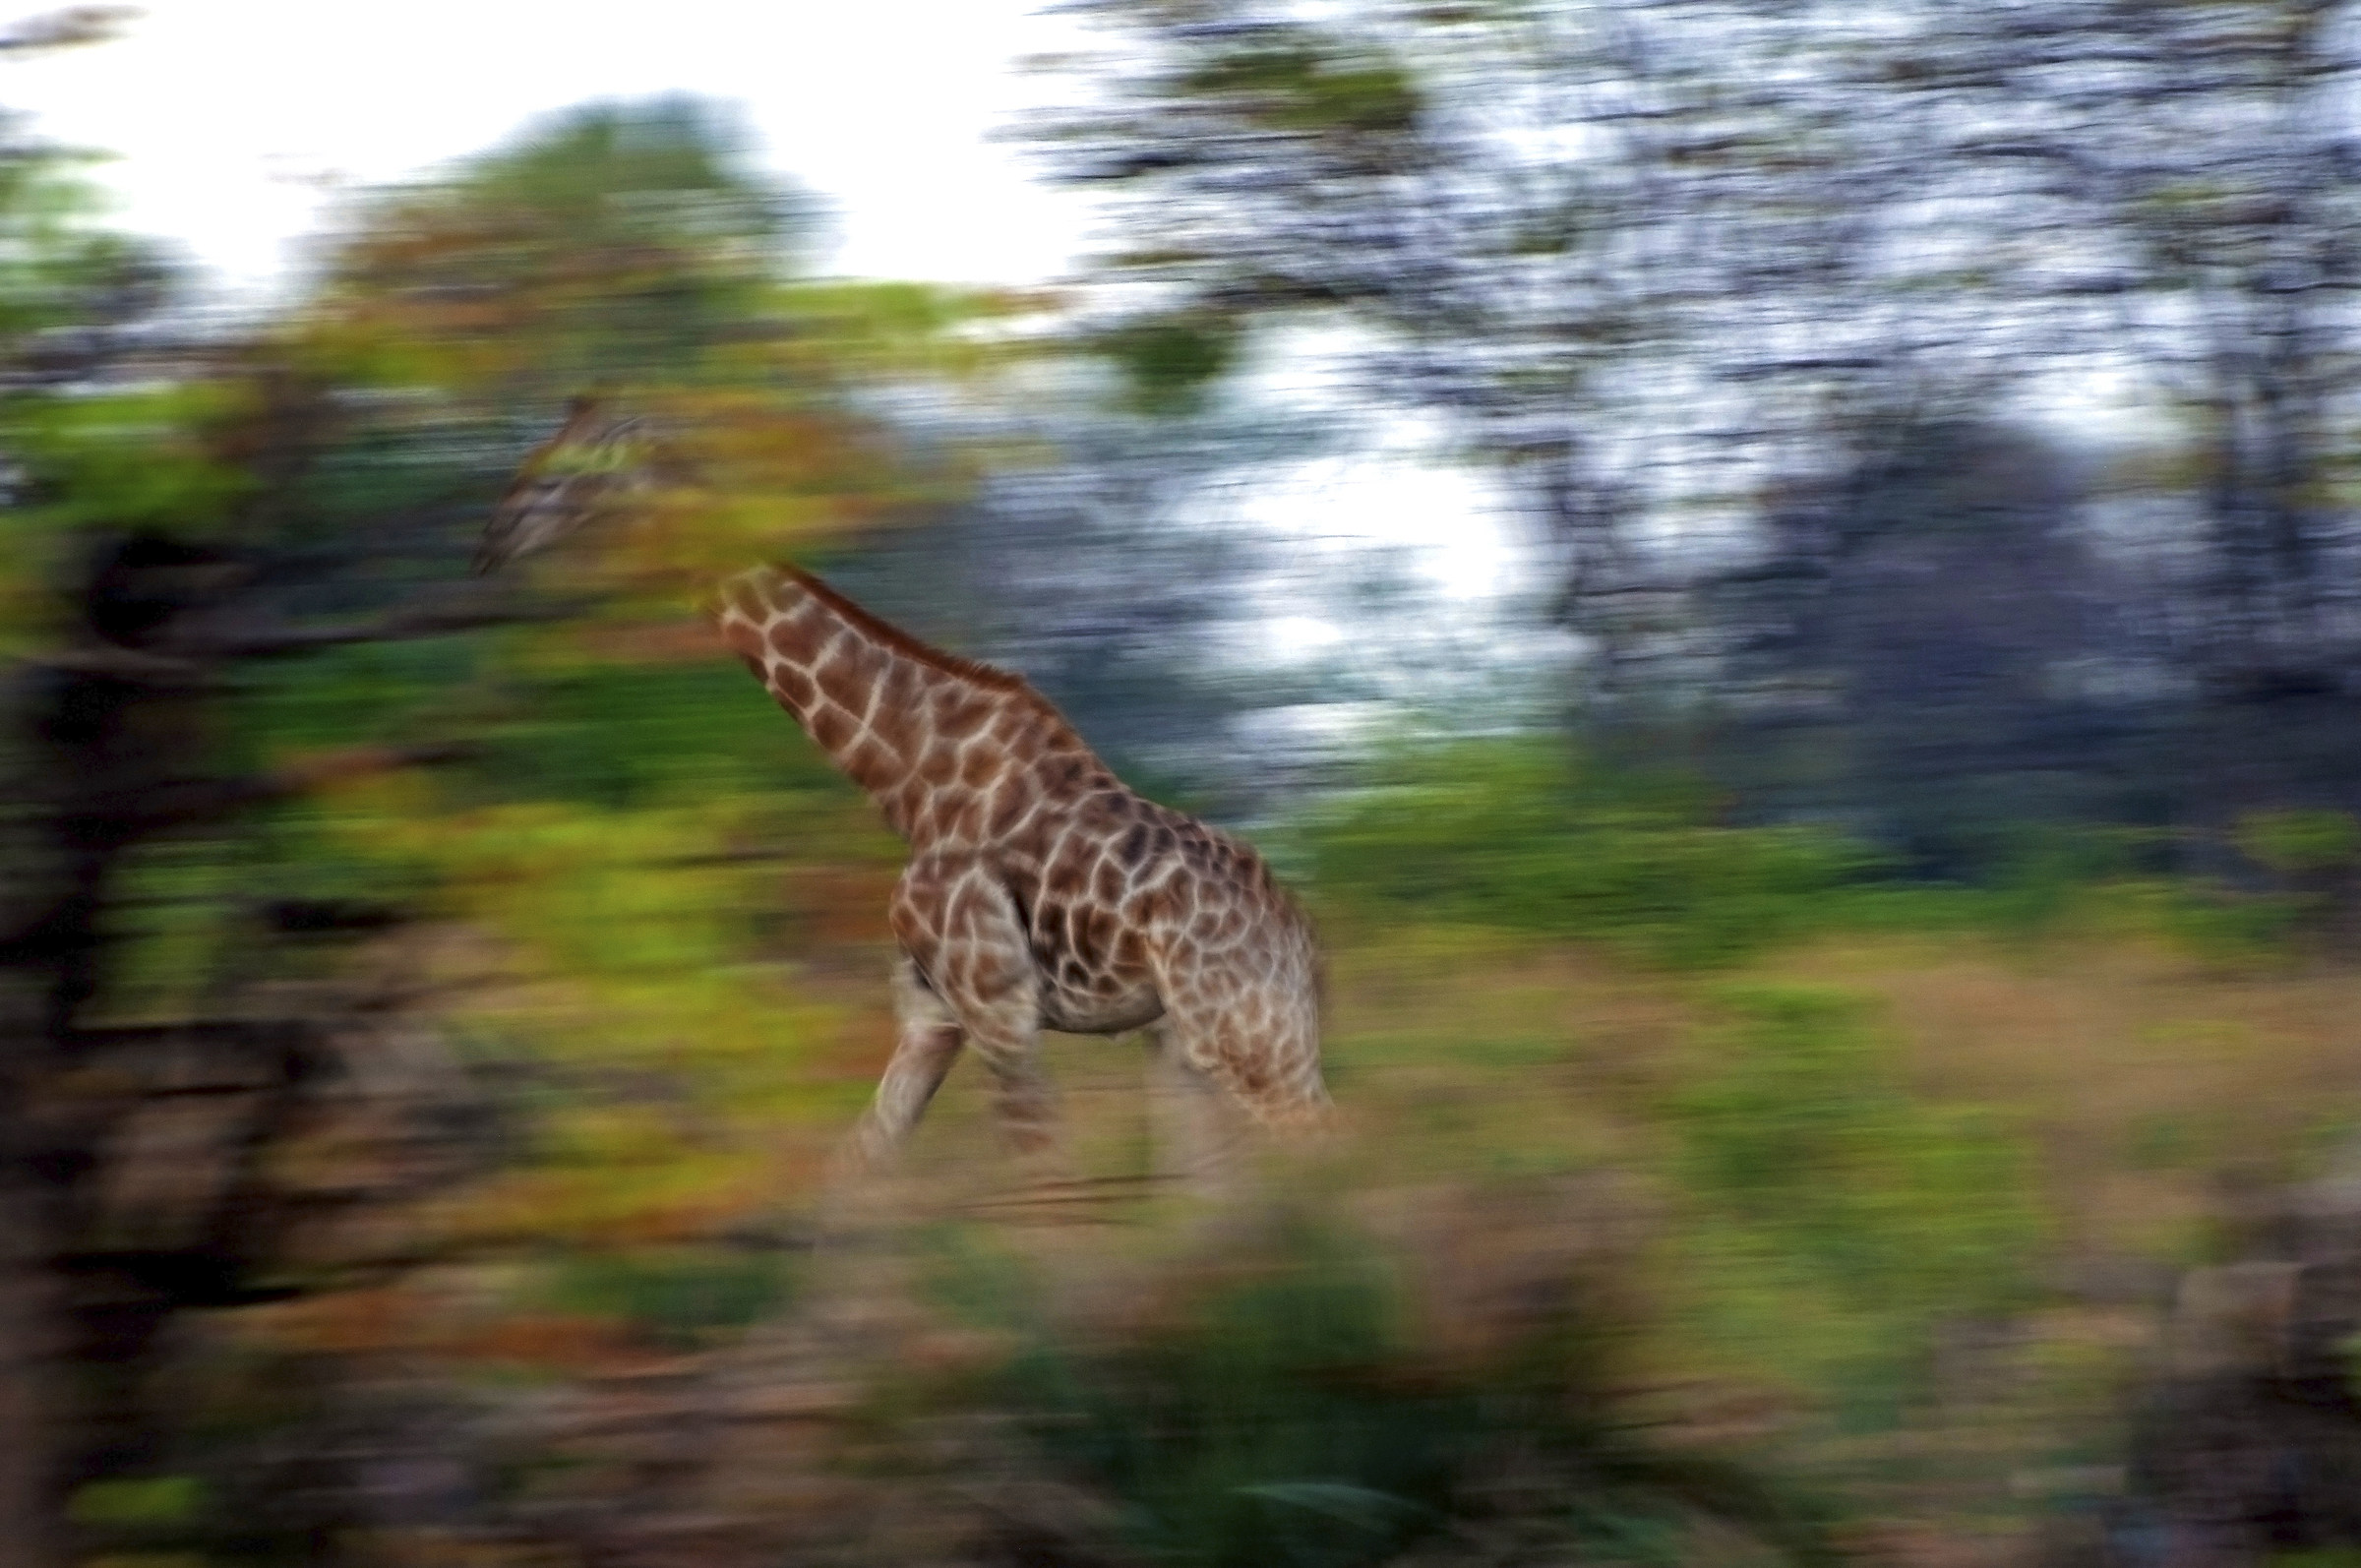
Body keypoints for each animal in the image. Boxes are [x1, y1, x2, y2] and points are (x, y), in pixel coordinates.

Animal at [475, 403, 1329, 1182]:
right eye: (538, 456)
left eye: (564, 474)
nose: (492, 540)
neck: (908, 778)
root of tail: (1295, 927)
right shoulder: (931, 1017)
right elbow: (857, 1168)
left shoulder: (999, 1010)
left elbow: (1046, 1180)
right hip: (1200, 1038)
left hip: (1240, 1032)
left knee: (1322, 1149)